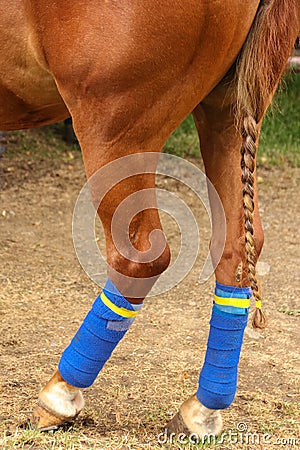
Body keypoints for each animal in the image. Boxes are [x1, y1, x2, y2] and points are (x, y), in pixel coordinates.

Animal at [1, 0, 298, 440]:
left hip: (115, 129)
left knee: (141, 259)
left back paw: (61, 394)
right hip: (230, 111)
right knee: (238, 248)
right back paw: (202, 409)